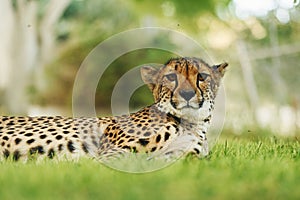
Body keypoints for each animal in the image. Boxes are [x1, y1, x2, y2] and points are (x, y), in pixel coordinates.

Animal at [0, 57, 227, 162]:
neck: (189, 123)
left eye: (202, 77)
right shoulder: (111, 152)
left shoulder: (183, 157)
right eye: (171, 77)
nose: (187, 94)